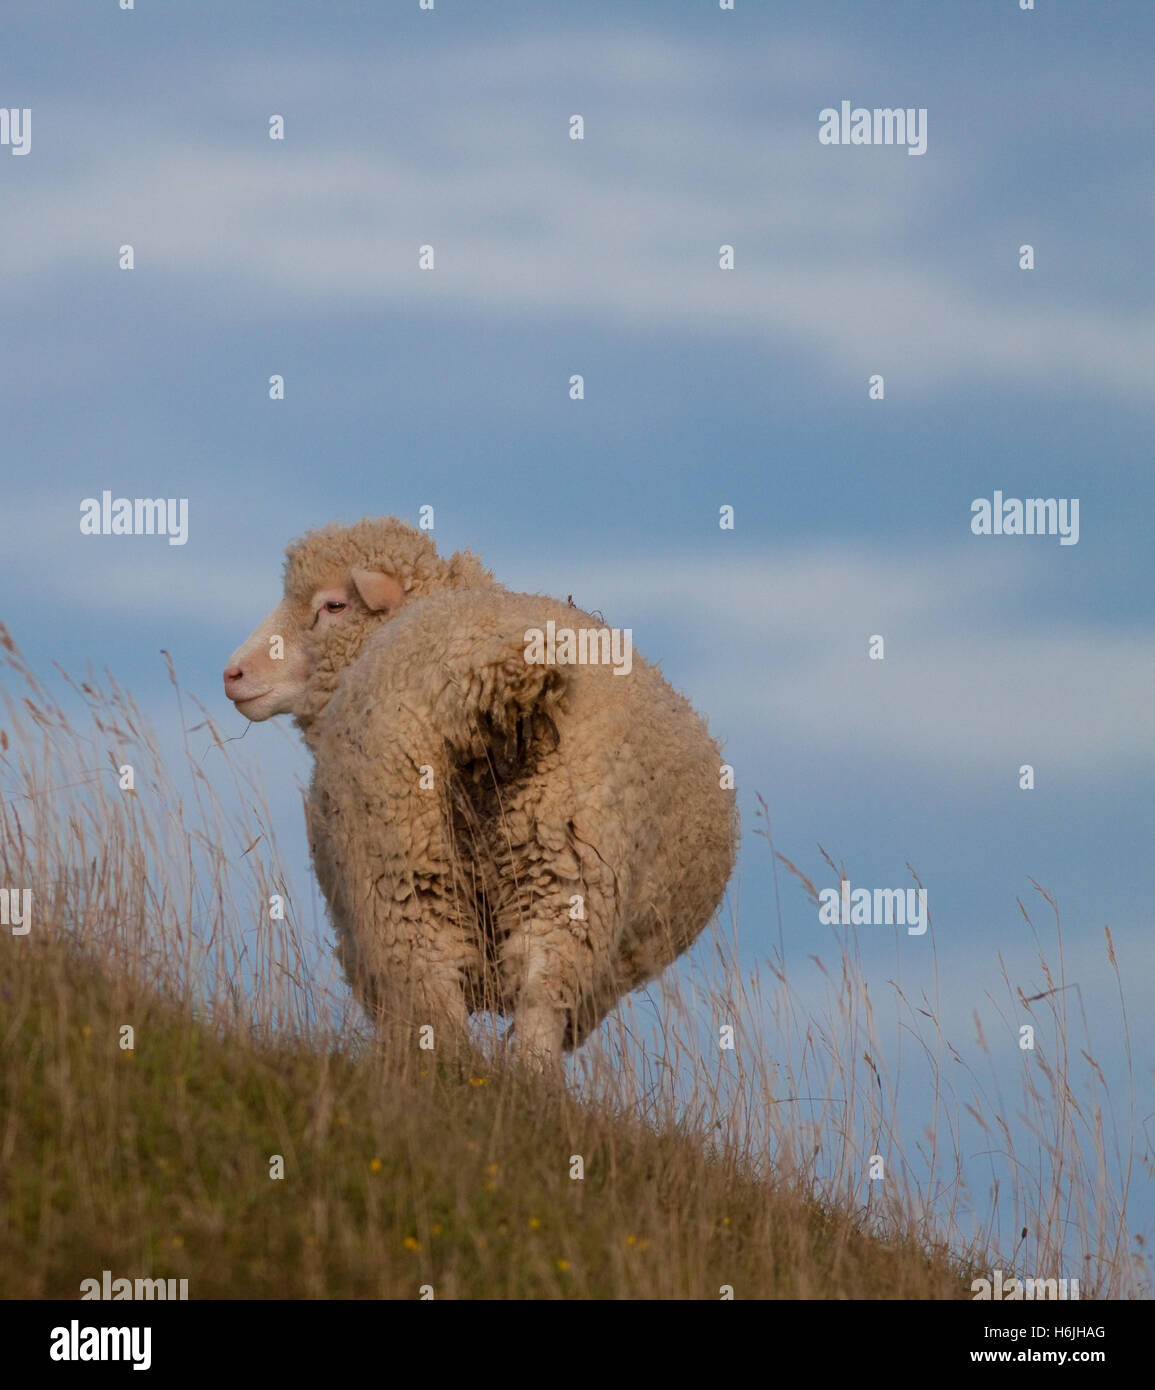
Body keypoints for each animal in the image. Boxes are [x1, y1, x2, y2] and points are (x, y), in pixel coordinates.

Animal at [220, 522, 733, 1061]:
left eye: (333, 606)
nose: (233, 674)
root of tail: (488, 673)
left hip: (406, 864)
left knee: (439, 999)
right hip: (562, 865)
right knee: (539, 991)